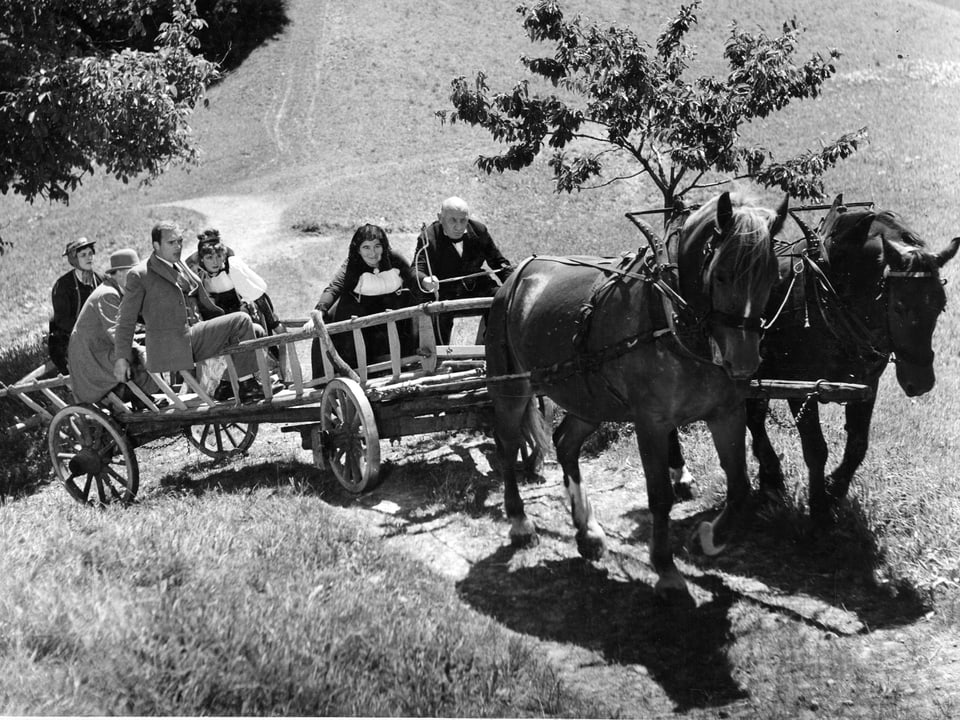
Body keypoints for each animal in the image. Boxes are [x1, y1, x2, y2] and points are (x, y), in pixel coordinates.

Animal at [488, 193, 788, 600]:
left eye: (772, 278)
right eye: (722, 273)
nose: (742, 362)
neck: (674, 320)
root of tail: (515, 277)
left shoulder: (727, 413)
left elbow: (741, 489)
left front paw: (706, 540)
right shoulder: (652, 424)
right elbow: (660, 495)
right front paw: (667, 570)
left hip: (589, 400)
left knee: (565, 444)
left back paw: (587, 531)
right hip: (511, 389)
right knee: (506, 448)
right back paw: (520, 522)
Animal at [732, 191, 956, 516]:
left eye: (940, 305)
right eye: (899, 306)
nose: (922, 382)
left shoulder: (866, 385)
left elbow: (858, 445)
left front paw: (835, 488)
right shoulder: (800, 387)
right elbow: (815, 448)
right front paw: (820, 508)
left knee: (755, 414)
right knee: (753, 417)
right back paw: (771, 478)